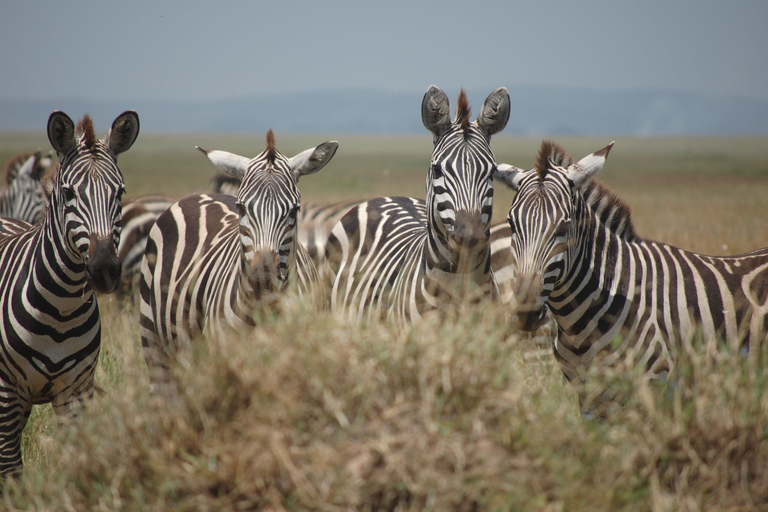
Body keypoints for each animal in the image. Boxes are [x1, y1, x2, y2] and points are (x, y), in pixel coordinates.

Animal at [0, 110, 139, 474]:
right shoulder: (7, 392)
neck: (60, 309)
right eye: (69, 193)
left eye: (120, 192)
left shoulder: (74, 393)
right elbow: (11, 469)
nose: (105, 269)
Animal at [140, 127, 338, 366]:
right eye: (241, 208)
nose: (263, 279)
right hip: (152, 339)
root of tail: (201, 195)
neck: (265, 309)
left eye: (294, 210)